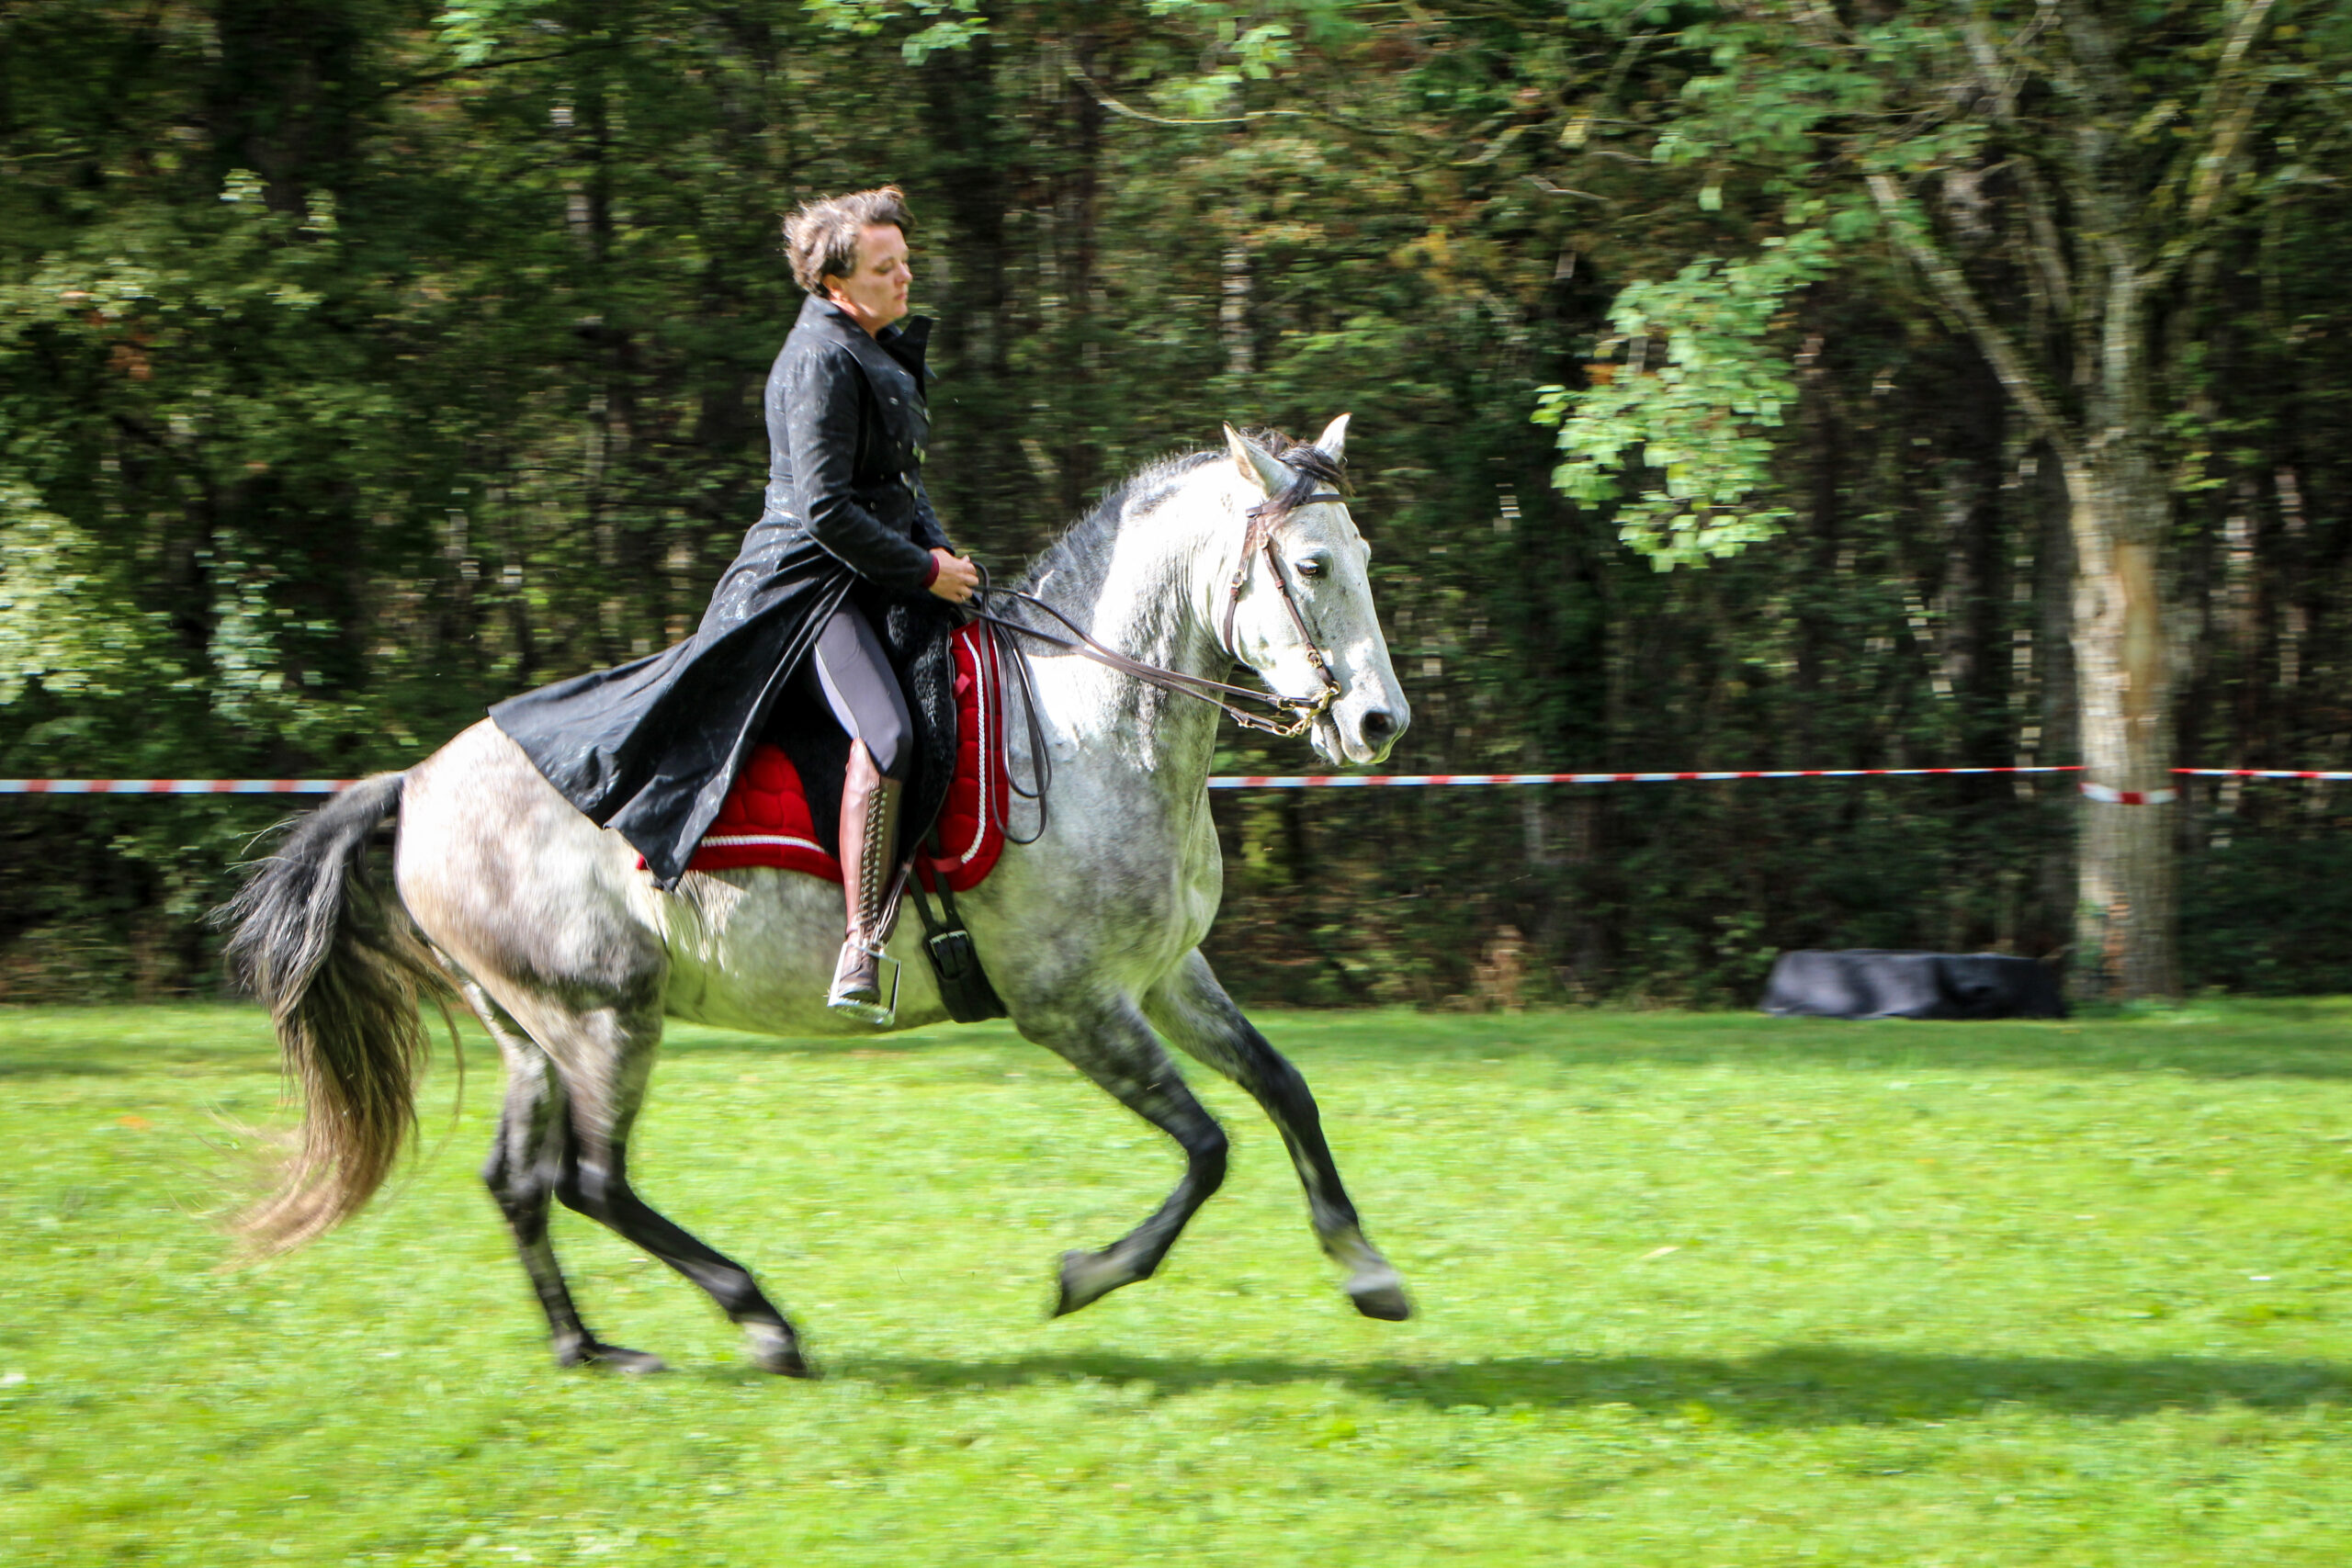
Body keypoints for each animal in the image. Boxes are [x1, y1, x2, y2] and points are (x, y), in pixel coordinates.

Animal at [221, 416, 1412, 1377]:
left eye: (1362, 556)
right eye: (1310, 566)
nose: (1379, 725)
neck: (1089, 730)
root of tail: (415, 785)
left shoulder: (1165, 978)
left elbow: (1285, 1090)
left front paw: (1366, 1268)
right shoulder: (1072, 1005)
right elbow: (1208, 1149)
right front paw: (1086, 1276)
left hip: (530, 1030)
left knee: (516, 1181)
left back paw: (588, 1348)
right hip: (604, 1015)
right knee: (590, 1181)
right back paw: (762, 1323)